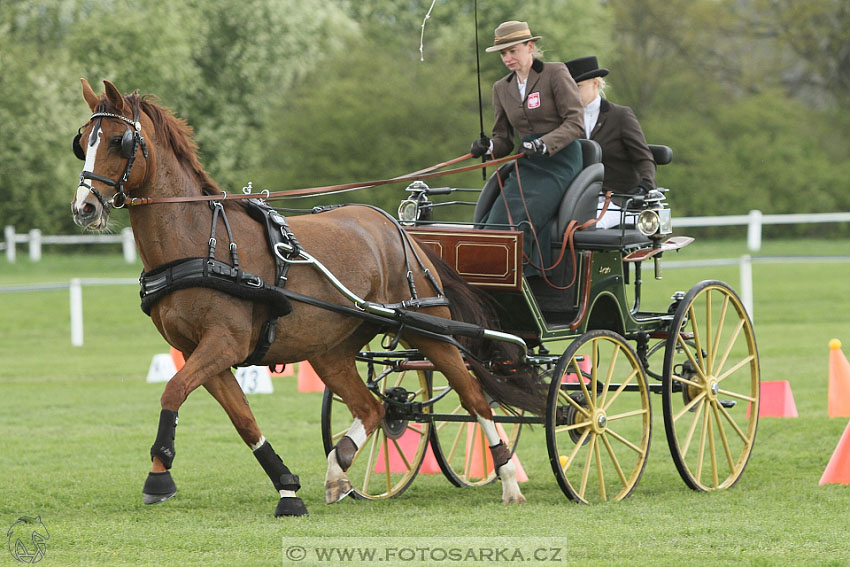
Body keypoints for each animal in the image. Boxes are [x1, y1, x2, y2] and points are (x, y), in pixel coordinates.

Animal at [68, 80, 544, 520]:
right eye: (83, 141)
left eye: (119, 140)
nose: (84, 208)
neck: (200, 241)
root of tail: (398, 229)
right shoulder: (198, 352)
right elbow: (243, 420)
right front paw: (287, 487)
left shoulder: (224, 344)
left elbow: (172, 391)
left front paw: (159, 476)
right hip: (331, 351)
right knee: (373, 407)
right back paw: (339, 468)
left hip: (431, 331)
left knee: (474, 397)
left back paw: (507, 479)